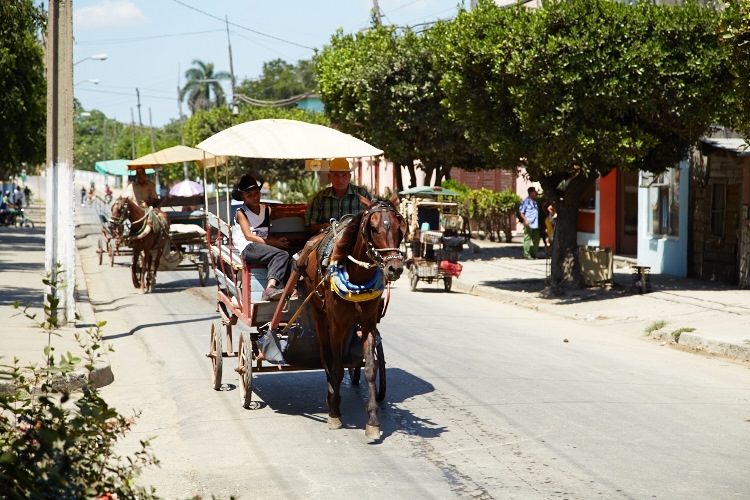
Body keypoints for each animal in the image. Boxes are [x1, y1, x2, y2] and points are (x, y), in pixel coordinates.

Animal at [296, 193, 408, 440]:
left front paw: (373, 422)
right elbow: (336, 368)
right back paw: (331, 397)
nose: (395, 268)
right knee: (326, 355)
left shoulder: (367, 323)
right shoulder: (336, 324)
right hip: (320, 315)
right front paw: (334, 414)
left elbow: (370, 369)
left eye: (400, 227)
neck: (357, 275)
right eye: (373, 228)